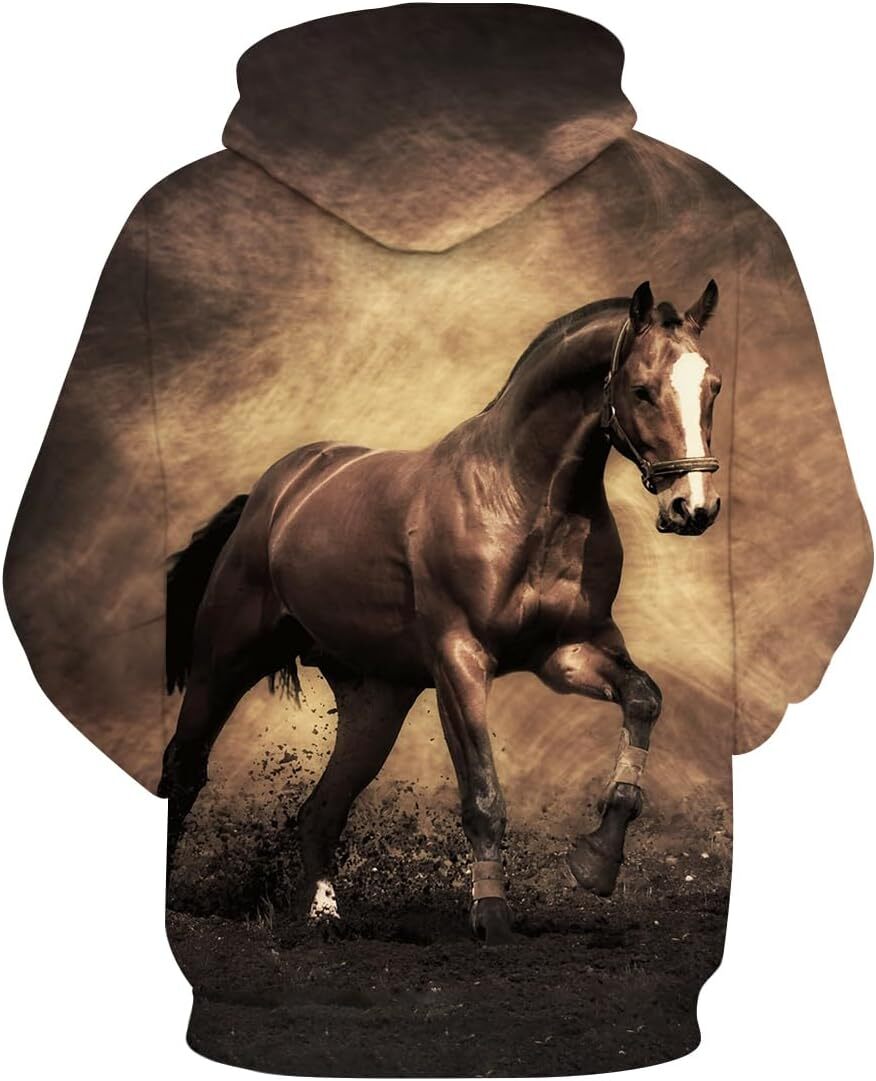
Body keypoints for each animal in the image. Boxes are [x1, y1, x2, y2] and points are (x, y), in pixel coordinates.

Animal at [159, 280, 722, 945]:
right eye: (640, 388)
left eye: (712, 387)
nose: (694, 507)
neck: (525, 500)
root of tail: (273, 496)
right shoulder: (460, 661)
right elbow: (482, 794)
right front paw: (492, 918)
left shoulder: (567, 653)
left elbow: (643, 700)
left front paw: (595, 863)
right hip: (224, 661)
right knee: (183, 769)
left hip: (376, 700)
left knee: (321, 810)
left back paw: (323, 917)